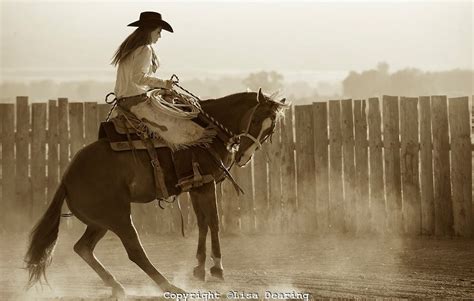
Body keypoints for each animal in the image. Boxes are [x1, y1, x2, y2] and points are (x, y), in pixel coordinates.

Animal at [24, 88, 288, 296]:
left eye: (271, 129)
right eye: (256, 120)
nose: (243, 156)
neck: (210, 132)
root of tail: (67, 178)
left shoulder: (196, 187)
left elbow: (202, 223)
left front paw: (199, 268)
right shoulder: (206, 184)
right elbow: (213, 221)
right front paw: (217, 268)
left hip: (100, 222)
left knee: (83, 248)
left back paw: (117, 286)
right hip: (118, 217)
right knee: (134, 251)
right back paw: (169, 286)